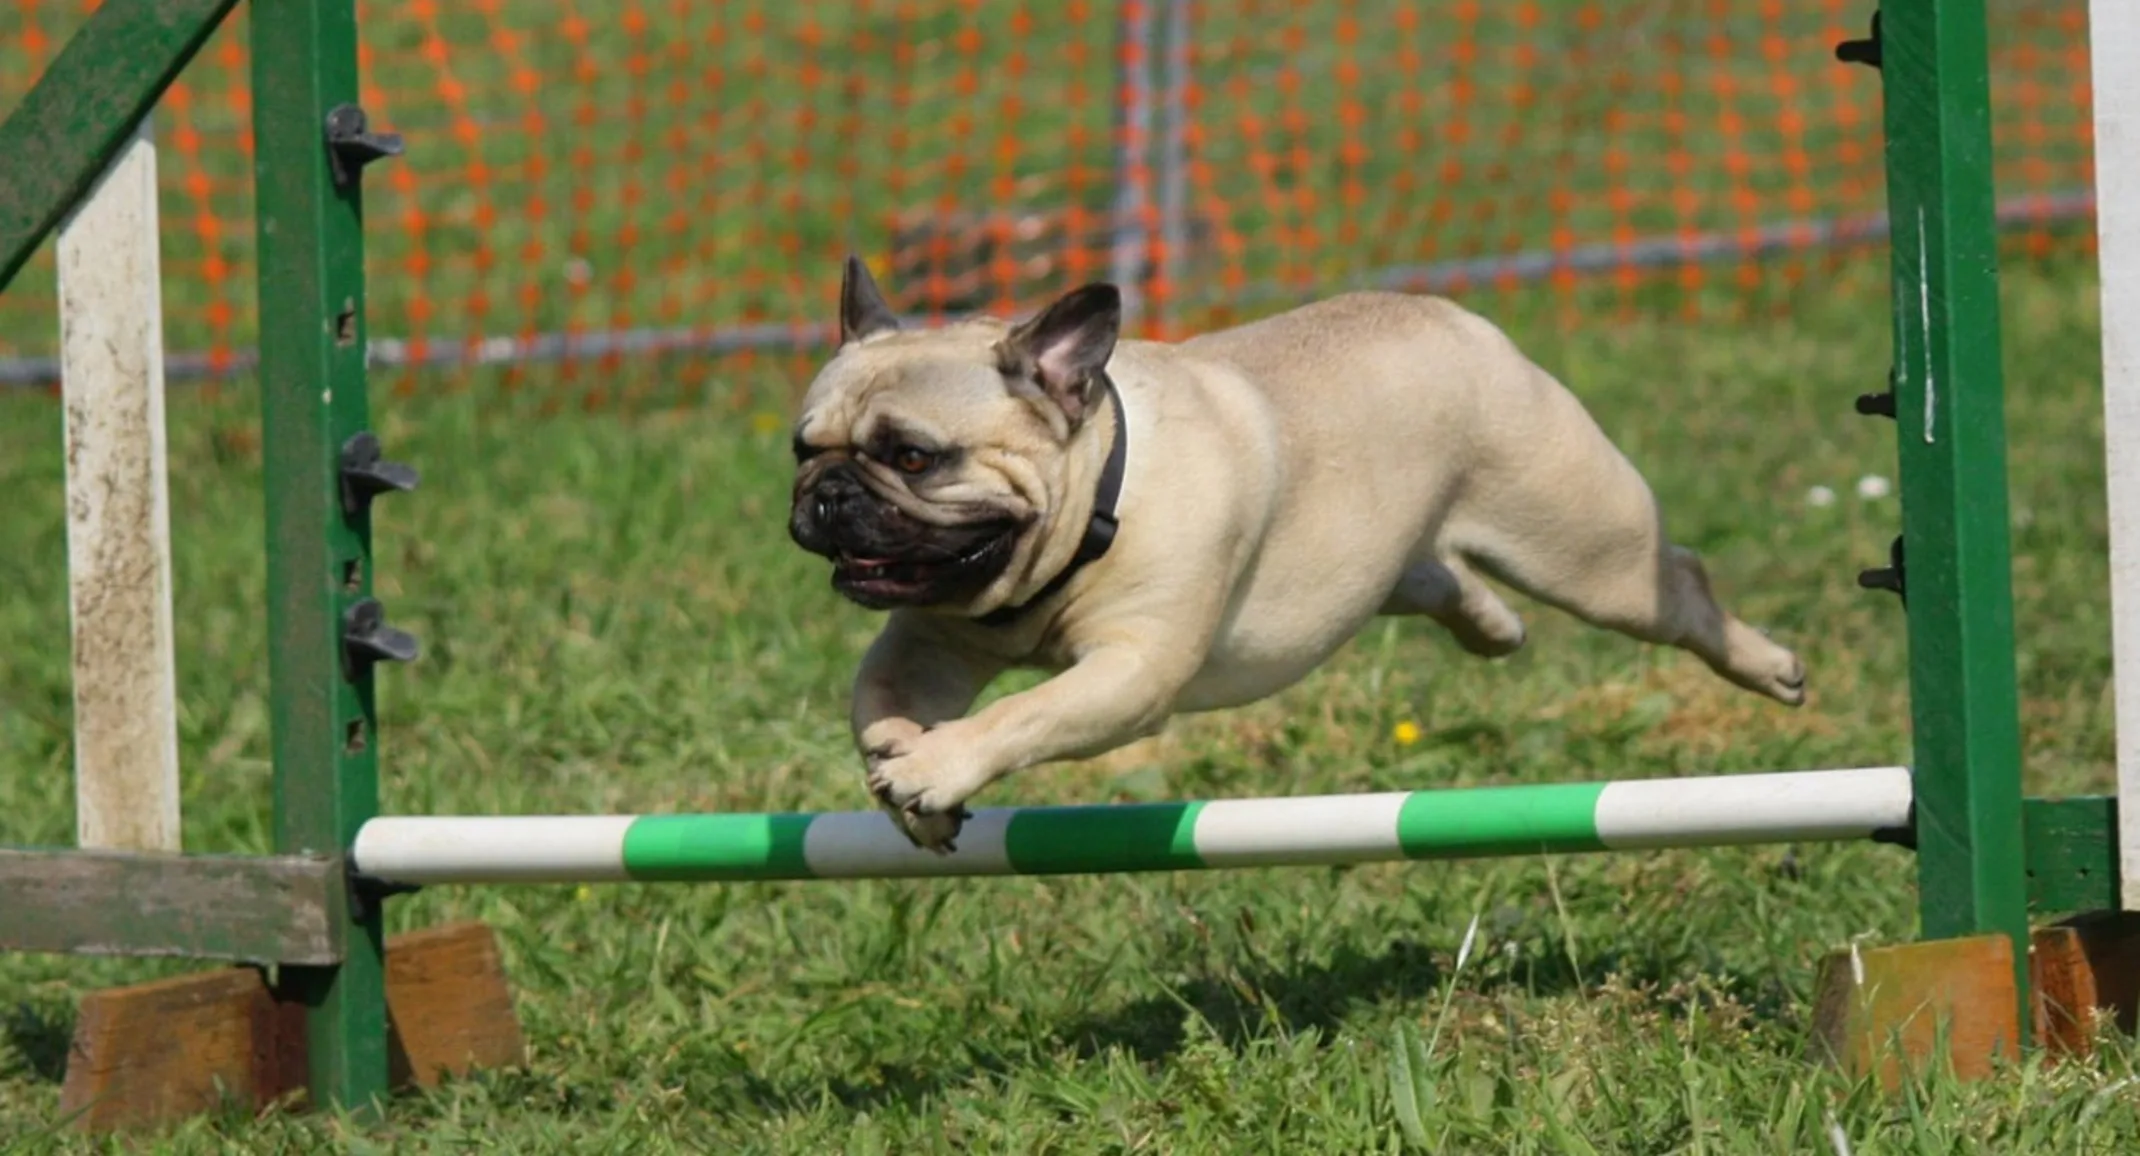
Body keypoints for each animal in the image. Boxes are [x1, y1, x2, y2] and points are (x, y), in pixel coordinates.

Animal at [791, 256, 1806, 847]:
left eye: (913, 457)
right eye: (803, 450)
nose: (826, 495)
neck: (1092, 507)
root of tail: (1457, 320)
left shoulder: (1129, 673)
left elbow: (1022, 713)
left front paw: (933, 766)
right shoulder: (925, 641)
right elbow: (874, 699)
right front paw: (905, 767)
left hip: (1585, 548)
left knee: (1677, 584)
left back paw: (1768, 666)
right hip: (1387, 563)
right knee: (1439, 578)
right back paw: (1490, 625)